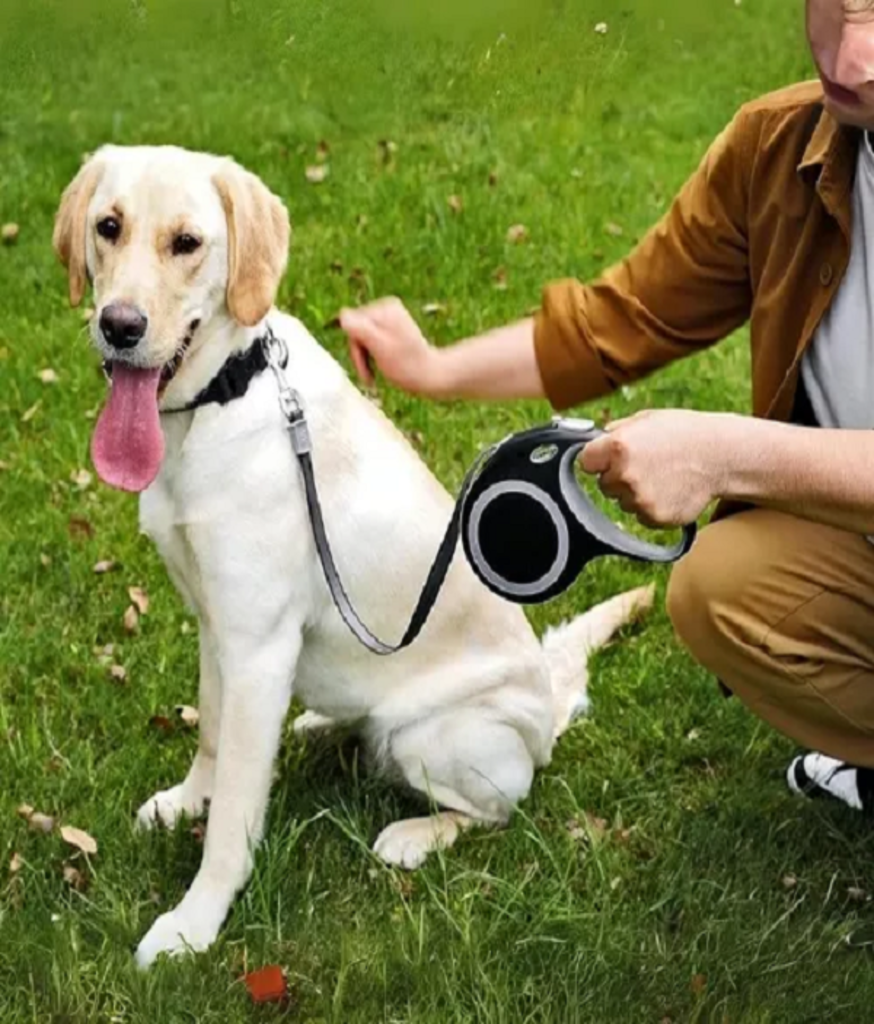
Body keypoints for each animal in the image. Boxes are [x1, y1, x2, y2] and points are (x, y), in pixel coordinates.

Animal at [52, 146, 654, 966]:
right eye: (108, 226)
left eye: (187, 243)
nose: (119, 326)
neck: (217, 399)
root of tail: (547, 717)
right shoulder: (218, 628)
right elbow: (213, 735)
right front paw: (185, 803)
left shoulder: (257, 645)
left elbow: (236, 811)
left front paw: (195, 921)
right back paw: (313, 725)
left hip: (431, 736)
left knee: (501, 809)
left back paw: (416, 833)